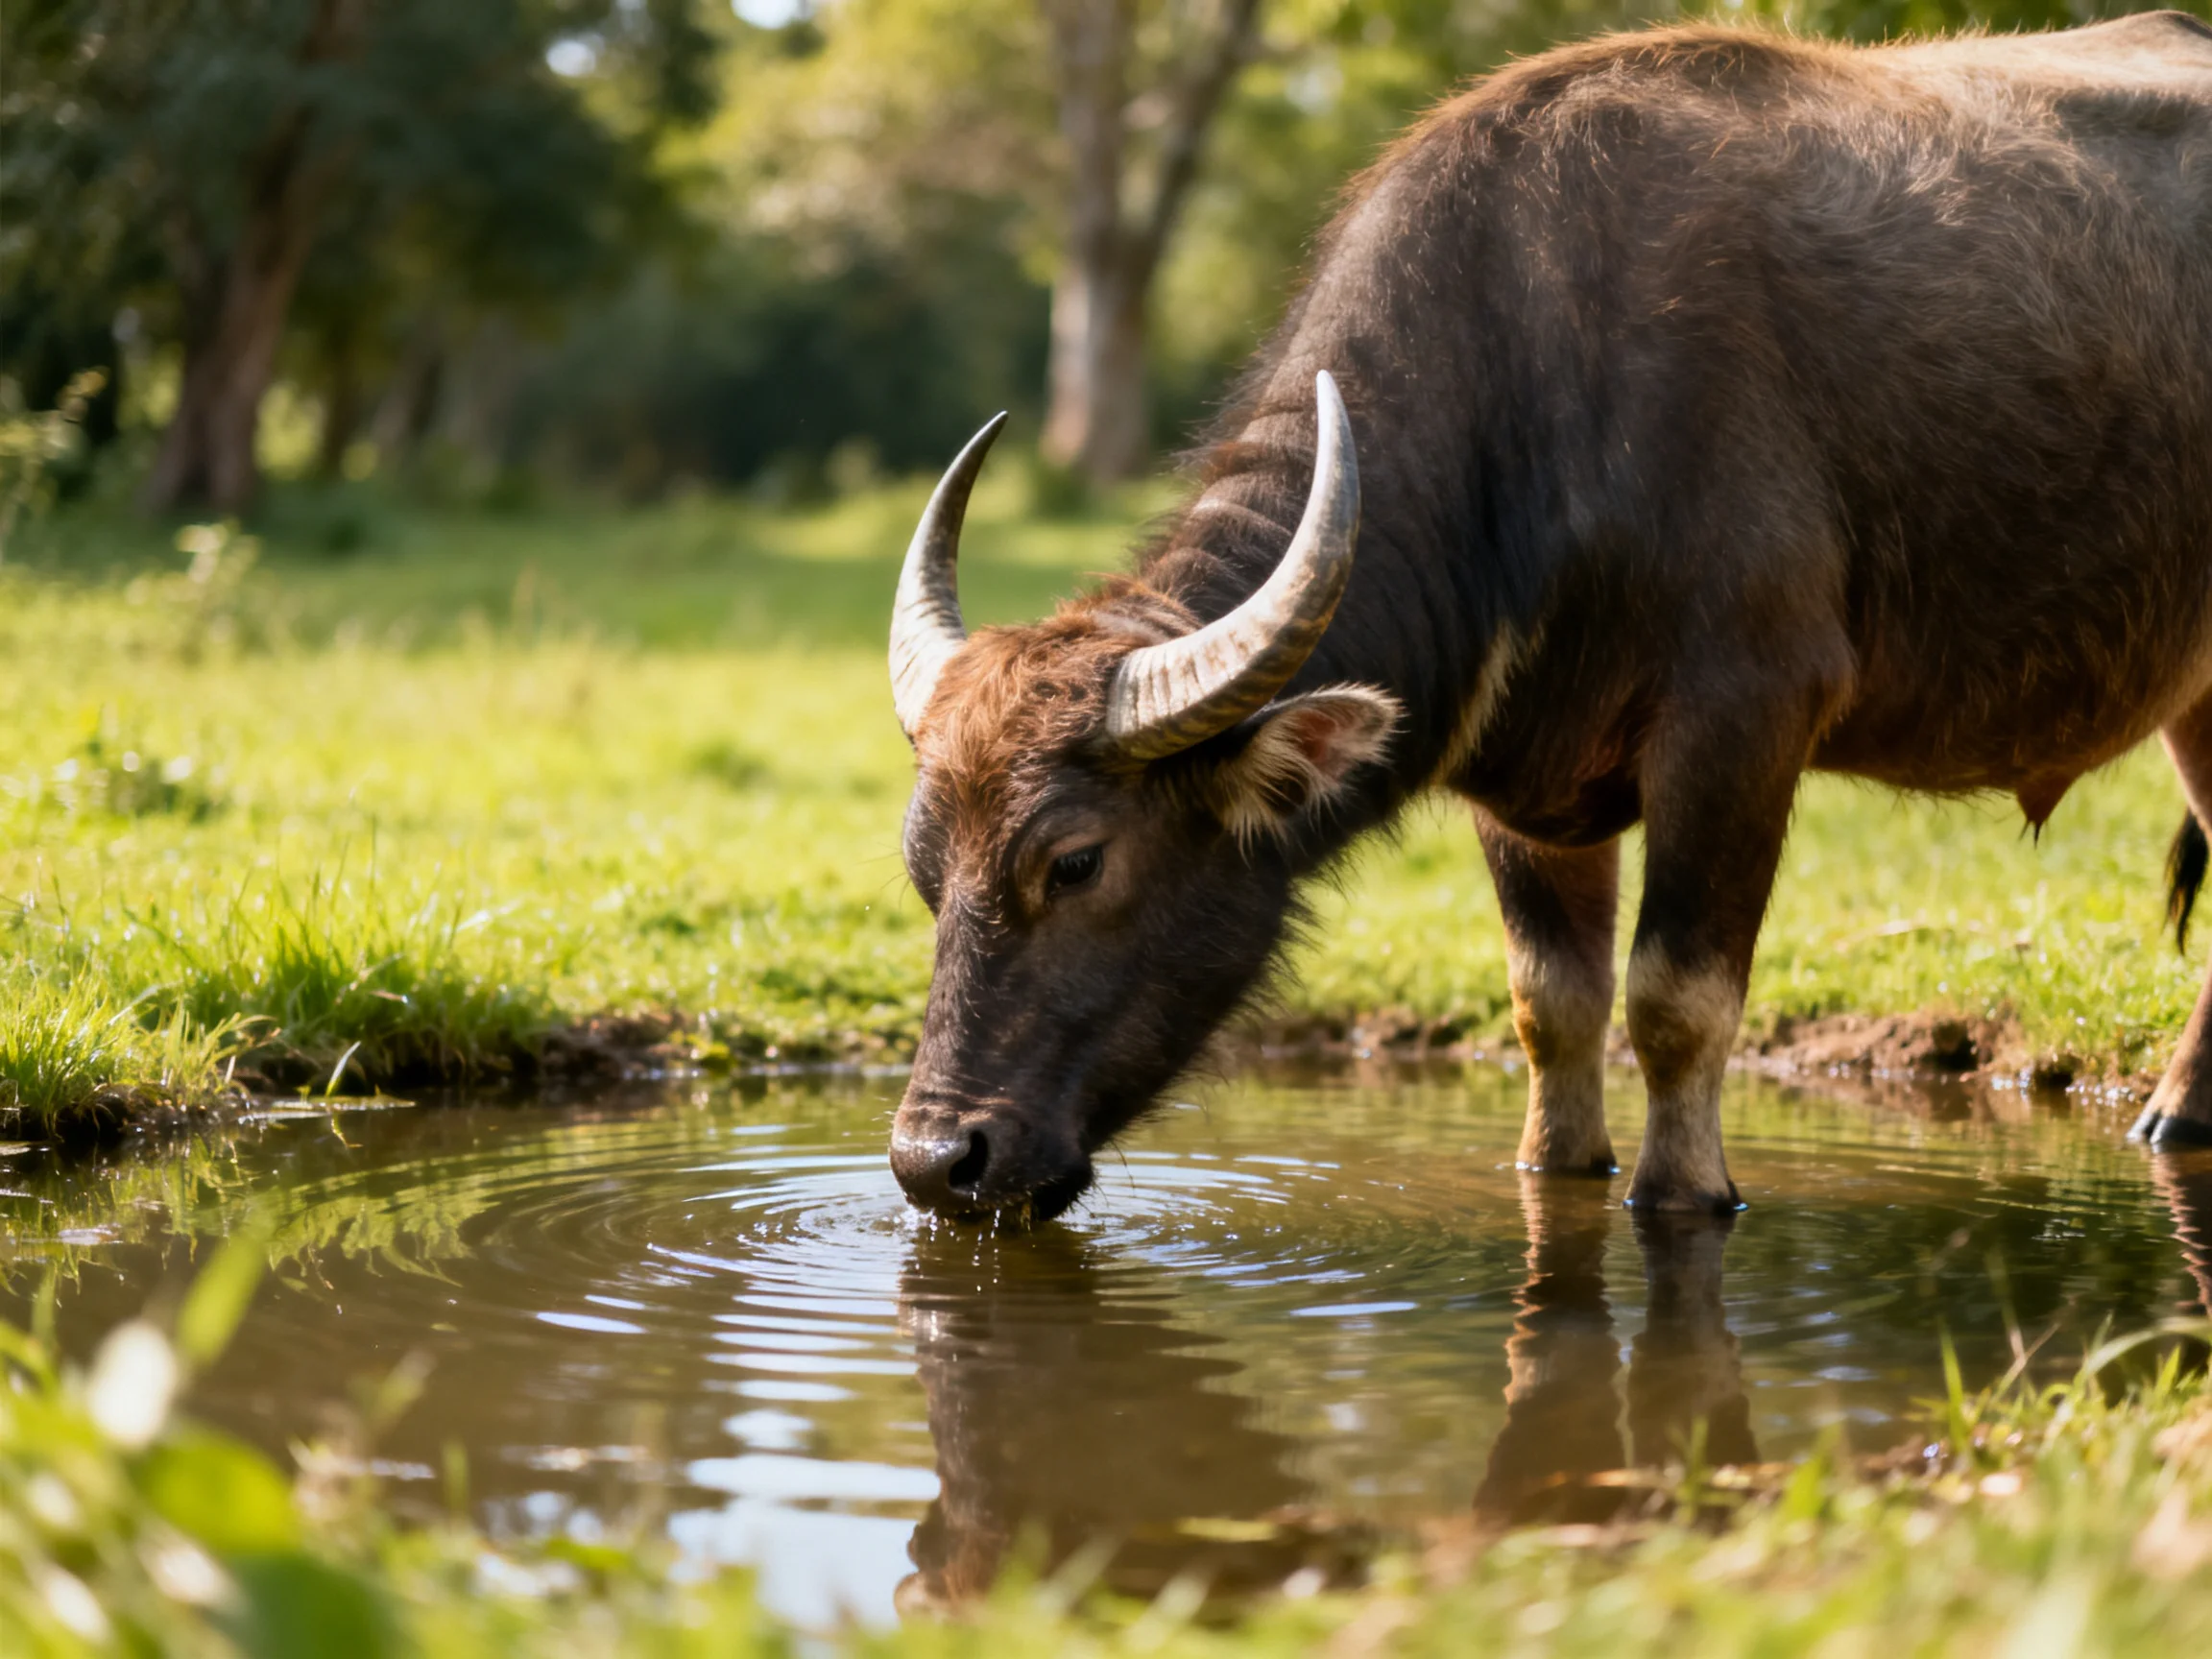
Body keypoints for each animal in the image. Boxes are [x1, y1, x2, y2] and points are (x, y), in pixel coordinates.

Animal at [885, 15, 2212, 1221]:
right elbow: (1551, 1004)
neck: (1531, 406)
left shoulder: (1746, 718)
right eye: (921, 865)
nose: (936, 1162)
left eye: (1076, 860)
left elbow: (1675, 1000)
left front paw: (1685, 1192)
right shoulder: (1527, 780)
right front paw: (1558, 1167)